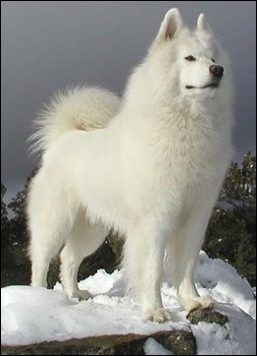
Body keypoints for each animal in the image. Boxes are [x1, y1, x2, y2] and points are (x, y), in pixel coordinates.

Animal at [27, 8, 232, 322]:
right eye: (189, 58)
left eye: (212, 58)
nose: (217, 70)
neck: (189, 122)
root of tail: (62, 138)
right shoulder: (154, 219)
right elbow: (152, 269)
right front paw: (155, 310)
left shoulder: (195, 216)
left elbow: (186, 266)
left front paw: (193, 301)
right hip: (55, 222)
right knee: (41, 259)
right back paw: (39, 298)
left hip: (91, 230)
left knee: (68, 258)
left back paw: (75, 294)